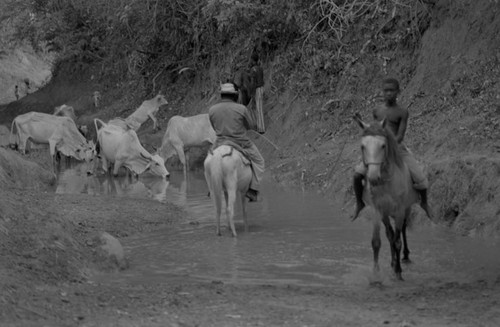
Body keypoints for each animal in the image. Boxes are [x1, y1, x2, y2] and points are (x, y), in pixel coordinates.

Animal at [354, 114, 420, 280]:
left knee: (402, 230)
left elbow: (397, 241)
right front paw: (376, 273)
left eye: (383, 146)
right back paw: (392, 261)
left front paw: (398, 272)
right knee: (389, 234)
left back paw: (405, 257)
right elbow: (377, 241)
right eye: (363, 146)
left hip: (406, 209)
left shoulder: (400, 210)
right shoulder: (377, 210)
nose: (373, 178)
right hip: (385, 214)